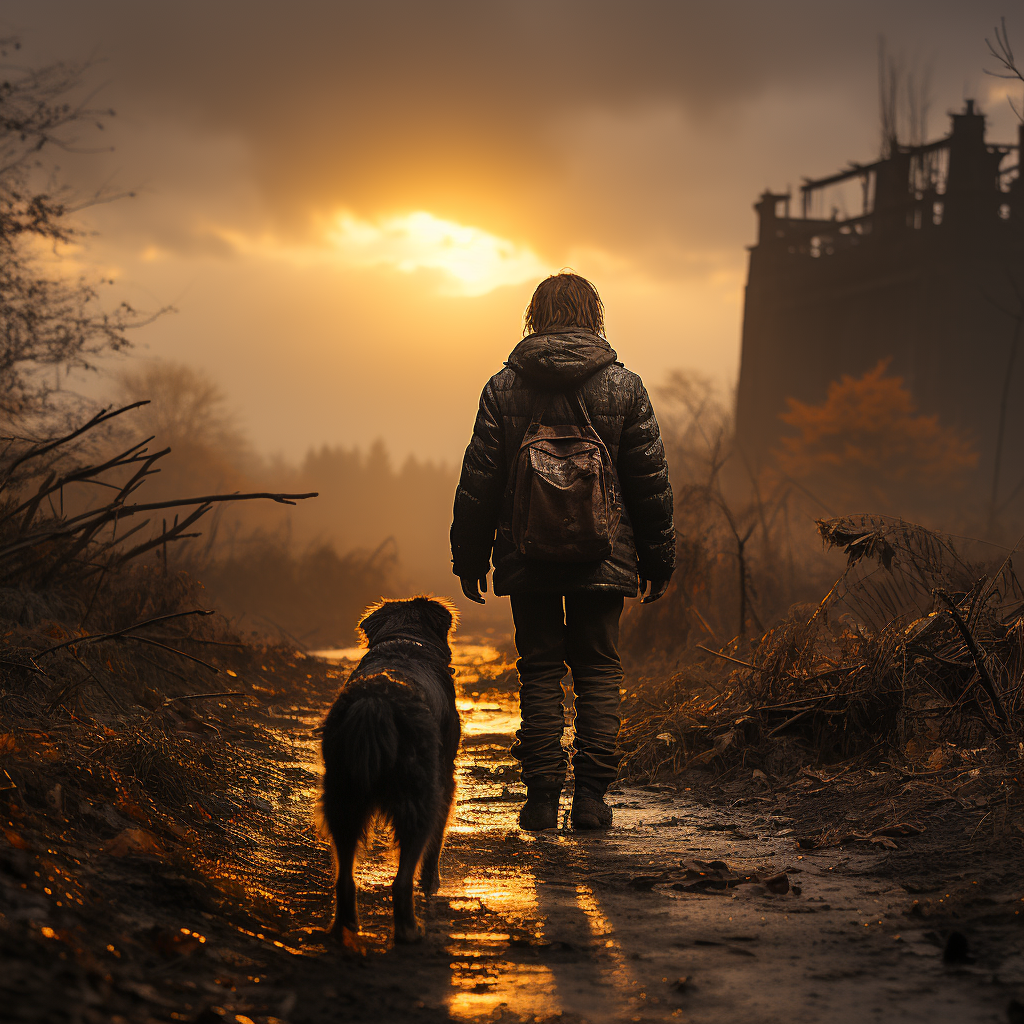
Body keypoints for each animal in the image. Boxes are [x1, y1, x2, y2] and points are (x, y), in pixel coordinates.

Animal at [319, 598, 460, 942]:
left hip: (342, 797)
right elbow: (436, 842)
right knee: (402, 878)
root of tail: (376, 700)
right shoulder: (445, 778)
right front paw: (432, 884)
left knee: (345, 877)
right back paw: (409, 929)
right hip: (418, 796)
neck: (404, 642)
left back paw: (345, 927)